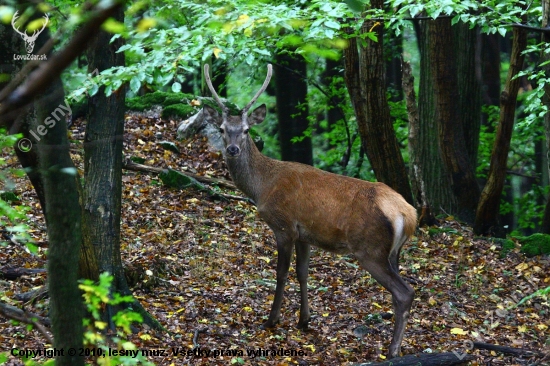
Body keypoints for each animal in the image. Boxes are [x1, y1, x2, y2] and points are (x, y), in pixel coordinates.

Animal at [203, 63, 418, 358]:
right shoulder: (305, 234)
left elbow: (281, 273)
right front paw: (304, 320)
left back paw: (393, 350)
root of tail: (408, 215)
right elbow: (303, 272)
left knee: (405, 293)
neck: (262, 186)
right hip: (394, 253)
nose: (233, 149)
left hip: (370, 249)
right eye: (223, 128)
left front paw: (271, 320)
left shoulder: (283, 226)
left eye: (246, 130)